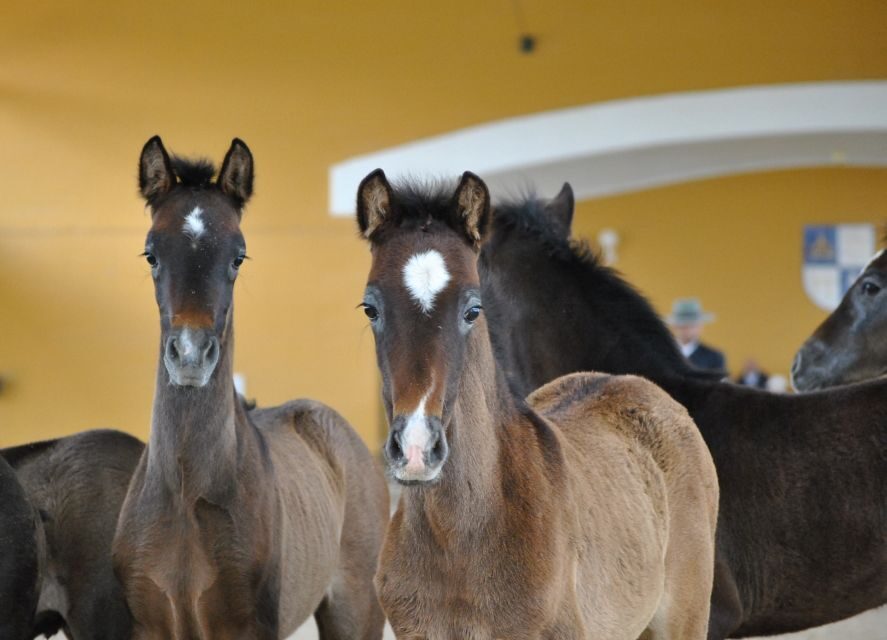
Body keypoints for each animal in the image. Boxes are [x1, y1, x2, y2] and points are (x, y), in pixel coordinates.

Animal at [112, 137, 389, 640]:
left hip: (356, 610)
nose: (190, 354)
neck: (185, 494)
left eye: (237, 257)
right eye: (151, 254)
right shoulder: (148, 624)